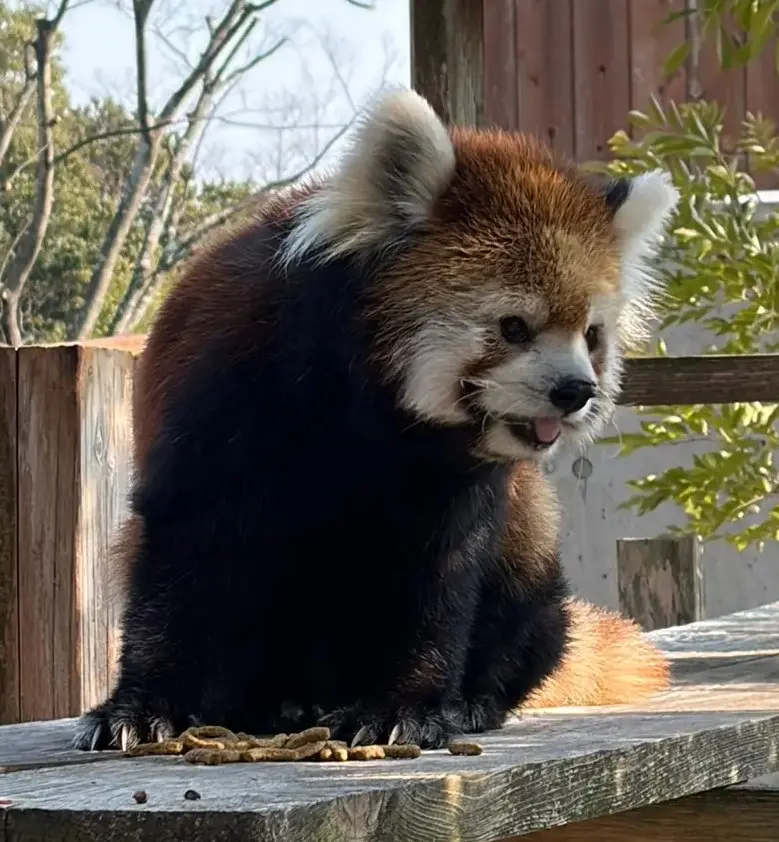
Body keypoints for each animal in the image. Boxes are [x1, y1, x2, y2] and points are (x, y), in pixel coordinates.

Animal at [74, 87, 677, 753]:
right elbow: (182, 557)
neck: (374, 416)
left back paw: (471, 699)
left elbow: (441, 578)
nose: (576, 391)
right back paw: (275, 703)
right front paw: (142, 706)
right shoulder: (226, 389)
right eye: (514, 326)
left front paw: (404, 707)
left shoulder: (452, 483)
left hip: (529, 543)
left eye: (591, 336)